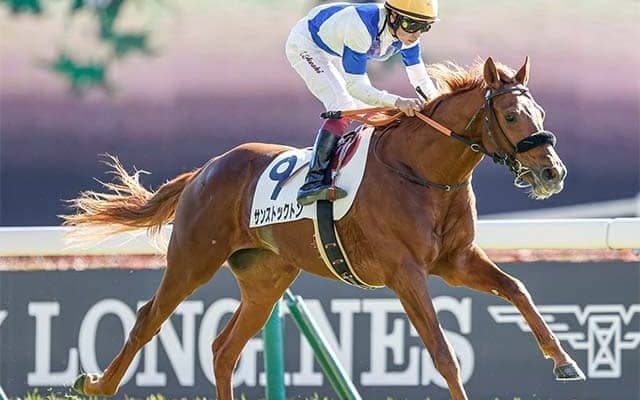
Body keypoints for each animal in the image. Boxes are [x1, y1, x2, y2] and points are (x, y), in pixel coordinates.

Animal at [64, 57, 584, 400]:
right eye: (512, 115)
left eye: (541, 114)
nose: (552, 172)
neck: (422, 172)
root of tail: (204, 170)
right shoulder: (405, 272)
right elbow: (442, 352)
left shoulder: (456, 262)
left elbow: (516, 289)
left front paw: (564, 360)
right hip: (194, 258)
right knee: (147, 319)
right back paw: (97, 385)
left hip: (267, 278)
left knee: (223, 348)